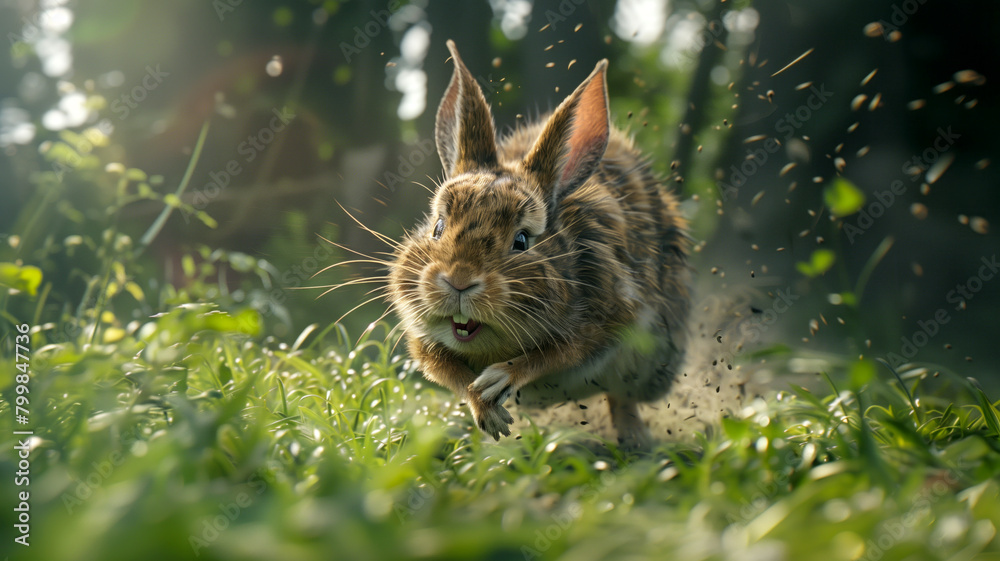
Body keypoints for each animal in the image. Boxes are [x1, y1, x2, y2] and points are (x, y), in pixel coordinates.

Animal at [387, 40, 691, 447]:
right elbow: (446, 369)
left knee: (621, 397)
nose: (459, 280)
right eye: (437, 226)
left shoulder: (611, 316)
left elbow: (561, 353)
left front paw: (500, 379)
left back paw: (636, 439)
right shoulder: (420, 337)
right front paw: (486, 410)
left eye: (522, 240)